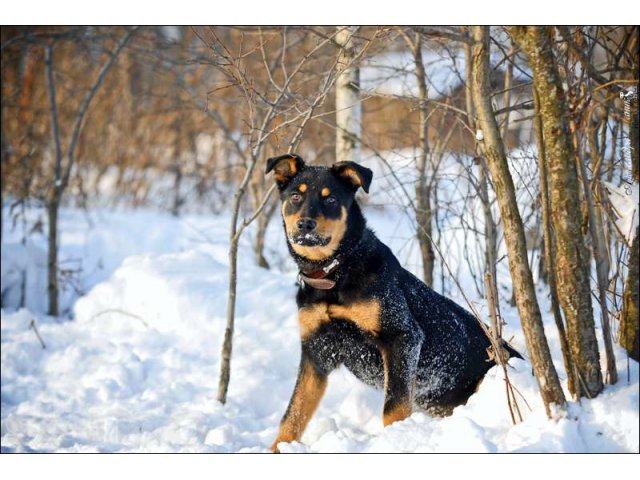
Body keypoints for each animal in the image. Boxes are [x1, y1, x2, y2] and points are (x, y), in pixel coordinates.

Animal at [264, 152, 520, 452]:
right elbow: (293, 414)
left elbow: (394, 407)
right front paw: (276, 449)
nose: (305, 225)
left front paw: (396, 440)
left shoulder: (402, 336)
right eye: (295, 196)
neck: (334, 274)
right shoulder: (316, 350)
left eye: (331, 200)